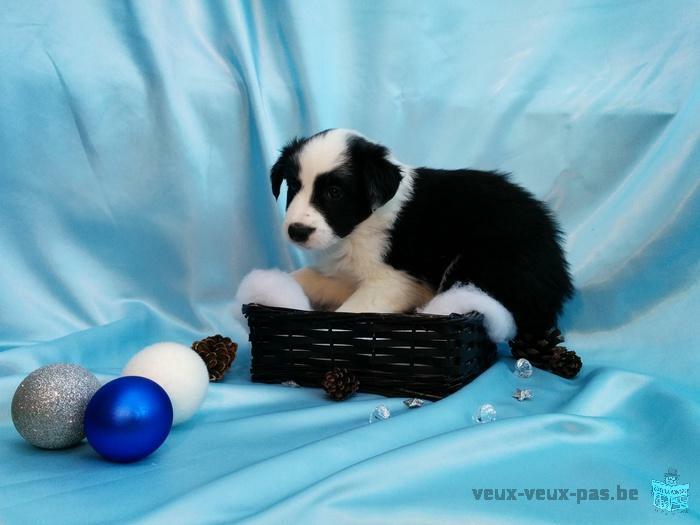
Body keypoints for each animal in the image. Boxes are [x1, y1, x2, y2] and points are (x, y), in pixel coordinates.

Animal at [270, 129, 572, 338]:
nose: (297, 231)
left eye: (334, 192)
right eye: (293, 187)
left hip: (481, 259)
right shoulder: (350, 276)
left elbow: (351, 311)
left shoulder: (394, 282)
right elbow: (310, 277)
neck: (359, 228)